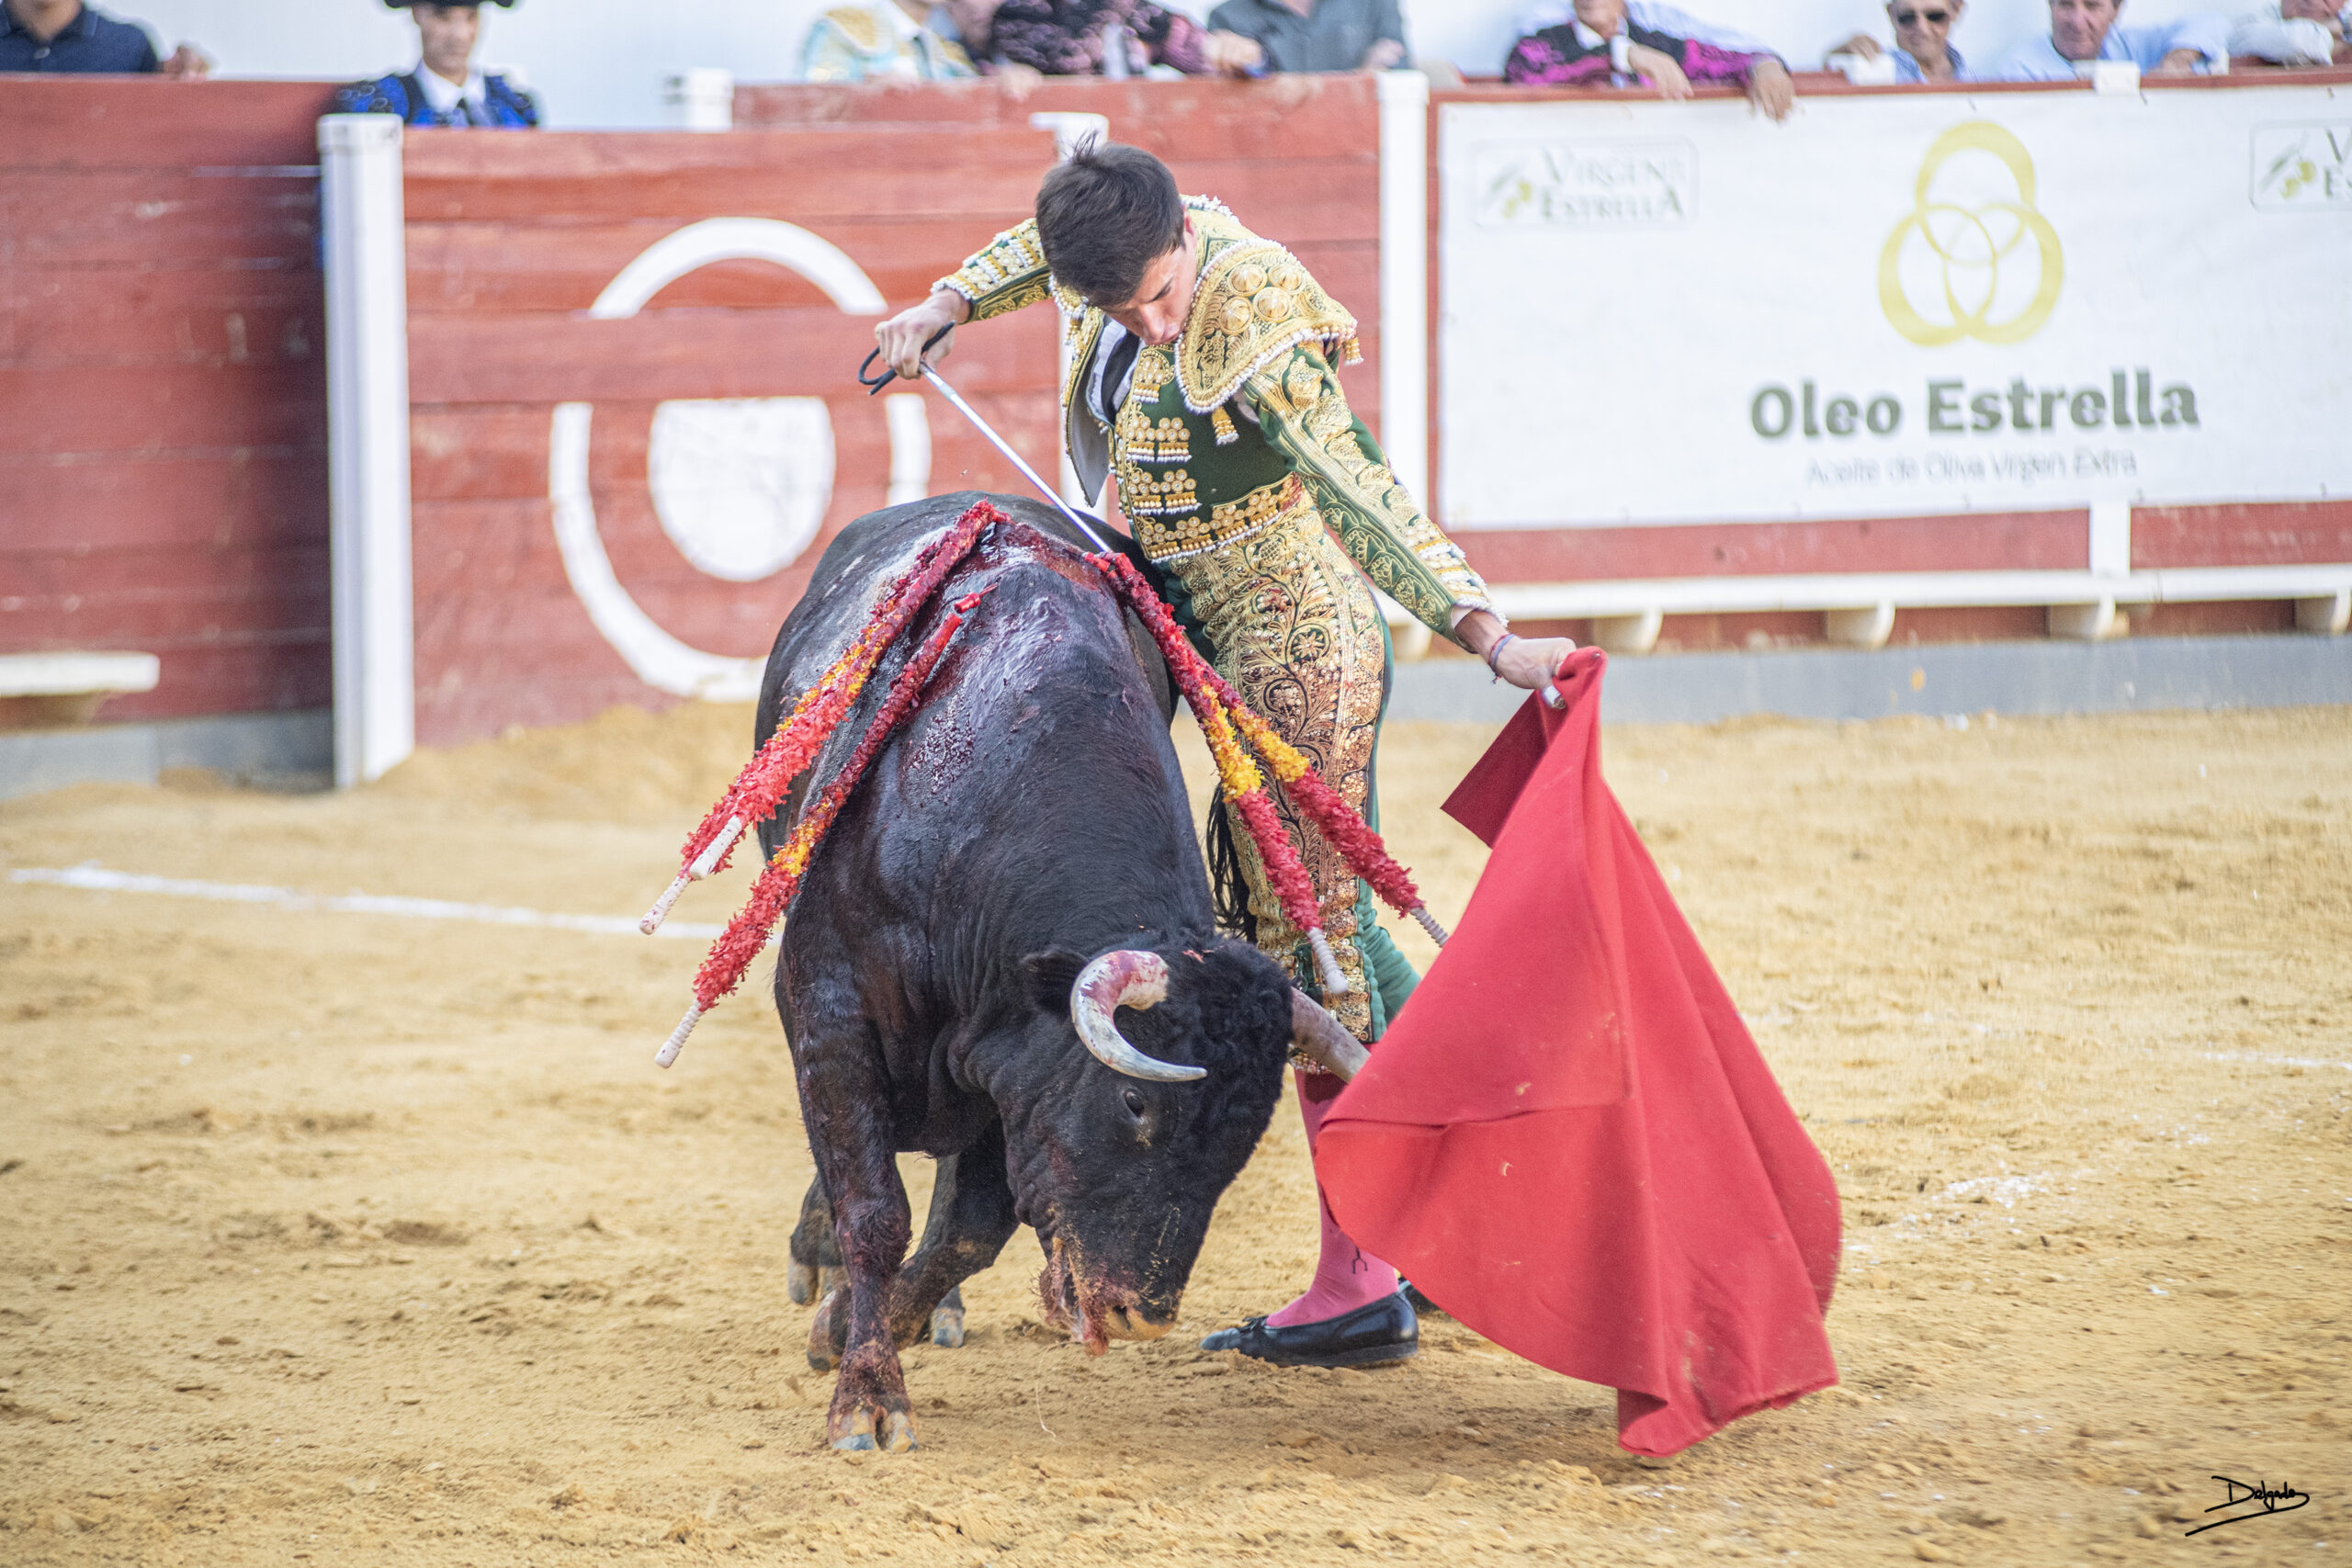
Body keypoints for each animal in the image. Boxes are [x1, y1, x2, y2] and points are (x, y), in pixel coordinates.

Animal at [762, 495, 1374, 1457]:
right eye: (1134, 1103)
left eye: (1238, 1145)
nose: (1140, 1313)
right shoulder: (828, 1010)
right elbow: (875, 1211)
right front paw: (865, 1394)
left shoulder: (1003, 1061)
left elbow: (967, 1230)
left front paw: (873, 1326)